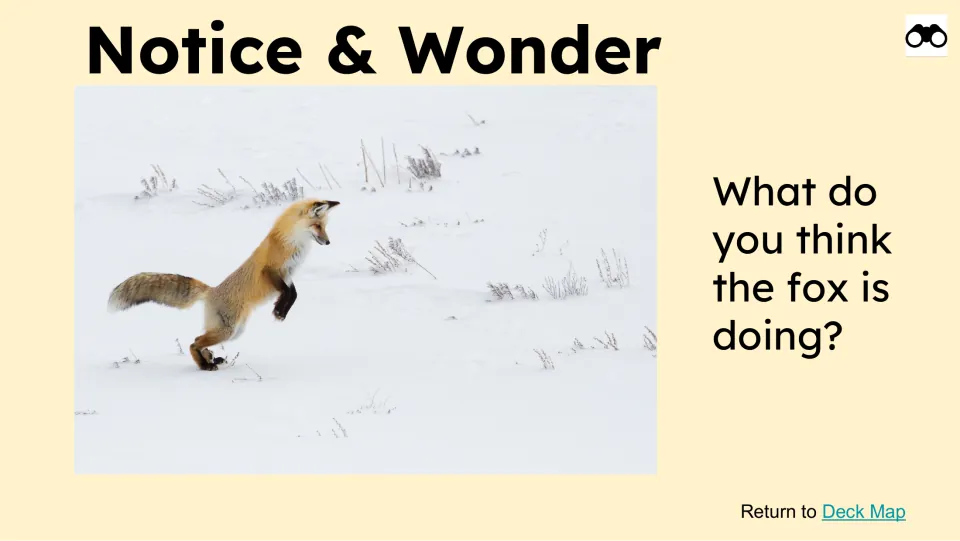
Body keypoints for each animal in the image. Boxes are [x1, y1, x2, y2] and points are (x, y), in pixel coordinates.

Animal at [107, 199, 340, 371]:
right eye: (317, 226)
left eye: (325, 227)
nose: (328, 242)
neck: (292, 242)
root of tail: (211, 291)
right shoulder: (271, 270)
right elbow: (286, 292)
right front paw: (279, 311)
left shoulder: (289, 274)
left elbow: (293, 294)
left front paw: (280, 310)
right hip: (227, 330)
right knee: (193, 342)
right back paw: (204, 365)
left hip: (235, 331)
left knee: (198, 339)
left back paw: (210, 359)